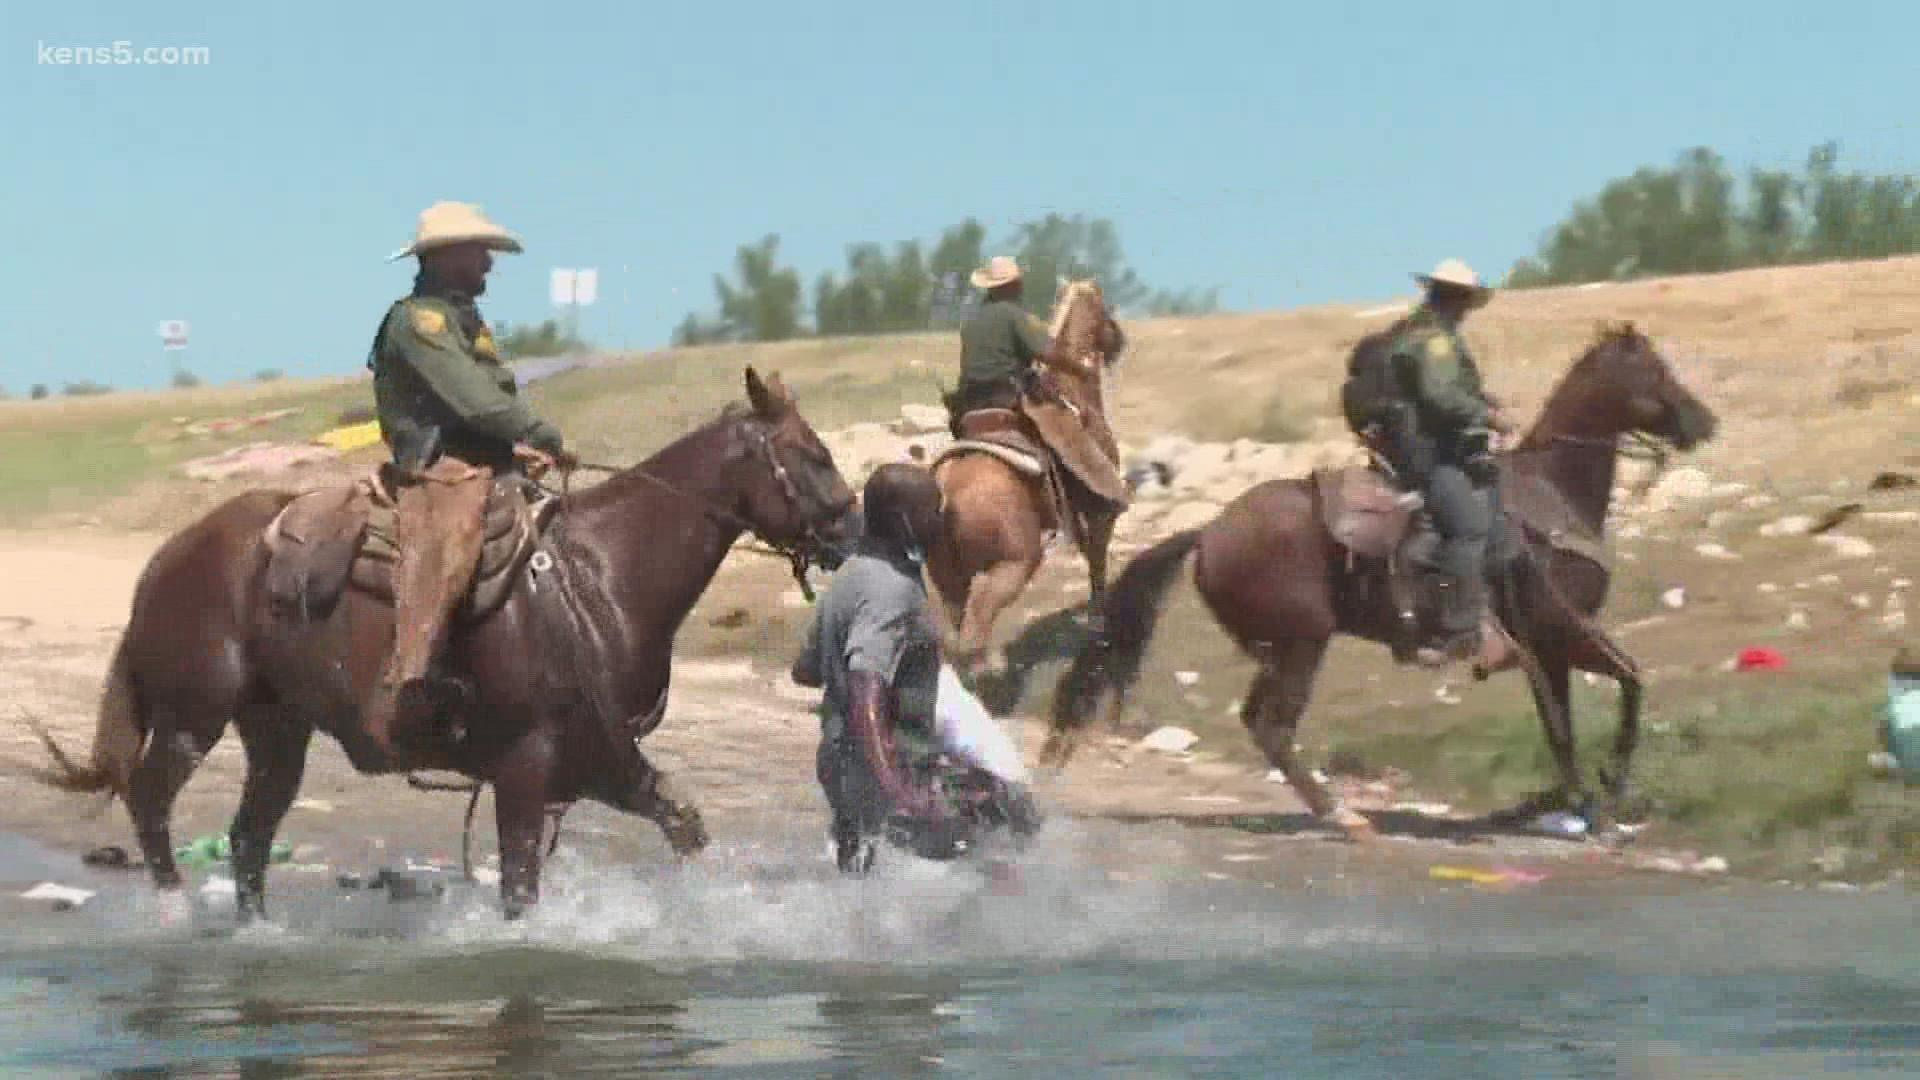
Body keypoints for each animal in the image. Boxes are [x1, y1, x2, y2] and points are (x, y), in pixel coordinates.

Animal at [28, 367, 856, 914]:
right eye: (812, 456)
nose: (855, 529)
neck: (602, 579)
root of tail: (167, 557)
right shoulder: (526, 766)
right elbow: (520, 888)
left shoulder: (603, 762)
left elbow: (684, 826)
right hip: (191, 718)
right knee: (152, 801)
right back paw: (174, 910)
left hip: (277, 732)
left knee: (246, 838)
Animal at [925, 276, 1121, 672]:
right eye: (1103, 307)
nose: (1119, 339)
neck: (1074, 390)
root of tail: (947, 493)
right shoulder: (1100, 513)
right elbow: (1097, 563)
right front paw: (1099, 623)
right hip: (1012, 567)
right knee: (974, 634)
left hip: (948, 579)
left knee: (955, 639)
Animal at [1044, 319, 1720, 834]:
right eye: (1655, 373)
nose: (1703, 422)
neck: (1553, 489)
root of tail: (1209, 531)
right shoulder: (1560, 628)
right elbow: (1623, 685)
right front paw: (1606, 789)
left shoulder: (1546, 645)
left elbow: (1567, 726)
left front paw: (1570, 799)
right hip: (1304, 642)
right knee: (1272, 726)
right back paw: (1340, 814)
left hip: (1285, 646)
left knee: (1261, 722)